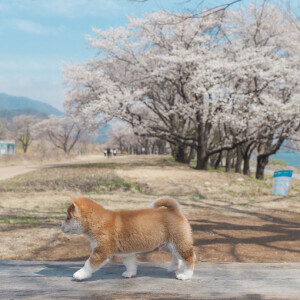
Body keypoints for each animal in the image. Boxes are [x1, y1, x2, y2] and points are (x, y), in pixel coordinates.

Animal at [61, 196, 195, 280]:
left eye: (68, 218)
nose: (60, 226)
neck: (99, 222)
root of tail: (175, 211)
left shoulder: (101, 251)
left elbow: (89, 263)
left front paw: (79, 274)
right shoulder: (126, 252)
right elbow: (130, 264)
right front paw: (130, 274)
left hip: (178, 243)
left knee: (189, 257)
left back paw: (185, 275)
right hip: (167, 245)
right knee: (177, 257)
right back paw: (173, 268)